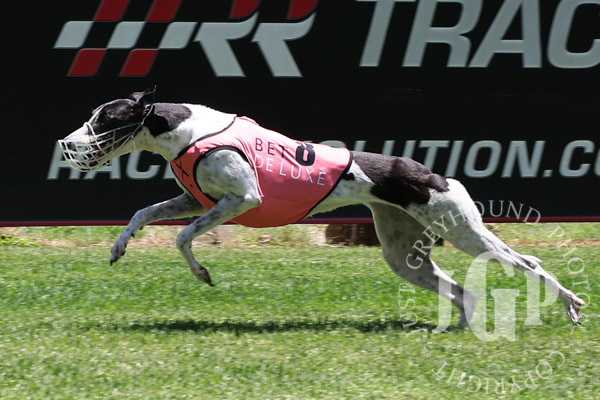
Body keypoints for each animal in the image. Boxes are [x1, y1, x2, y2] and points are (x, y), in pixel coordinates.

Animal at [59, 88, 585, 326]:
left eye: (104, 119)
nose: (66, 144)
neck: (187, 132)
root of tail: (434, 174)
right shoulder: (195, 197)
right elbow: (142, 215)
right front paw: (118, 247)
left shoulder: (239, 199)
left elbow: (184, 235)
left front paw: (202, 272)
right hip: (403, 254)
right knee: (460, 289)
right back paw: (460, 326)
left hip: (462, 230)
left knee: (528, 262)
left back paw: (569, 302)